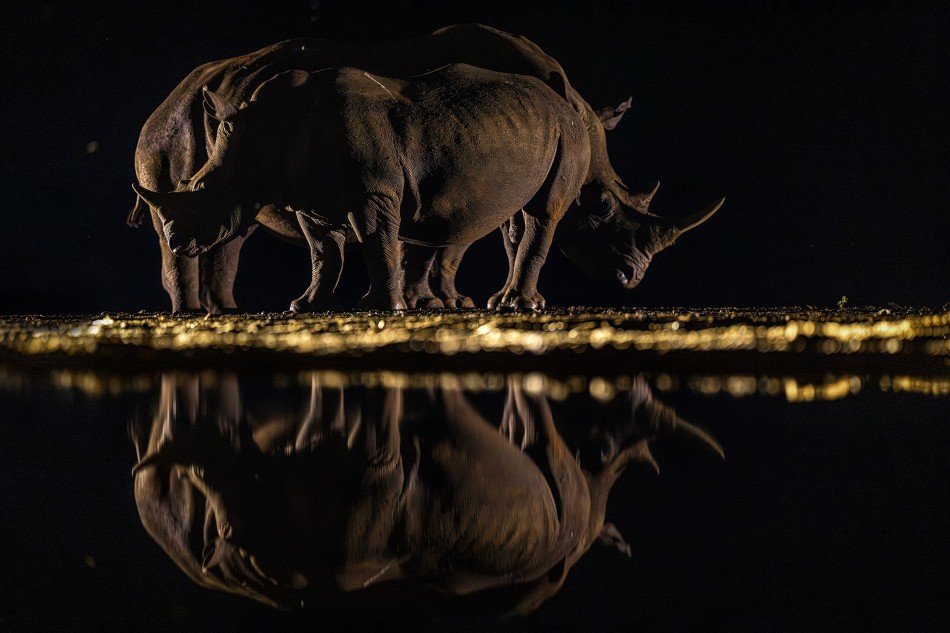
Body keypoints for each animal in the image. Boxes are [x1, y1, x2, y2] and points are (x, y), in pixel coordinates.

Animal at [130, 24, 720, 312]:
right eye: (599, 208)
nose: (633, 277)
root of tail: (170, 94)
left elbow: (443, 245)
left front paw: (441, 301)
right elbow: (453, 246)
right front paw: (439, 301)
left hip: (189, 115)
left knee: (233, 235)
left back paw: (225, 312)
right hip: (167, 128)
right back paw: (191, 315)